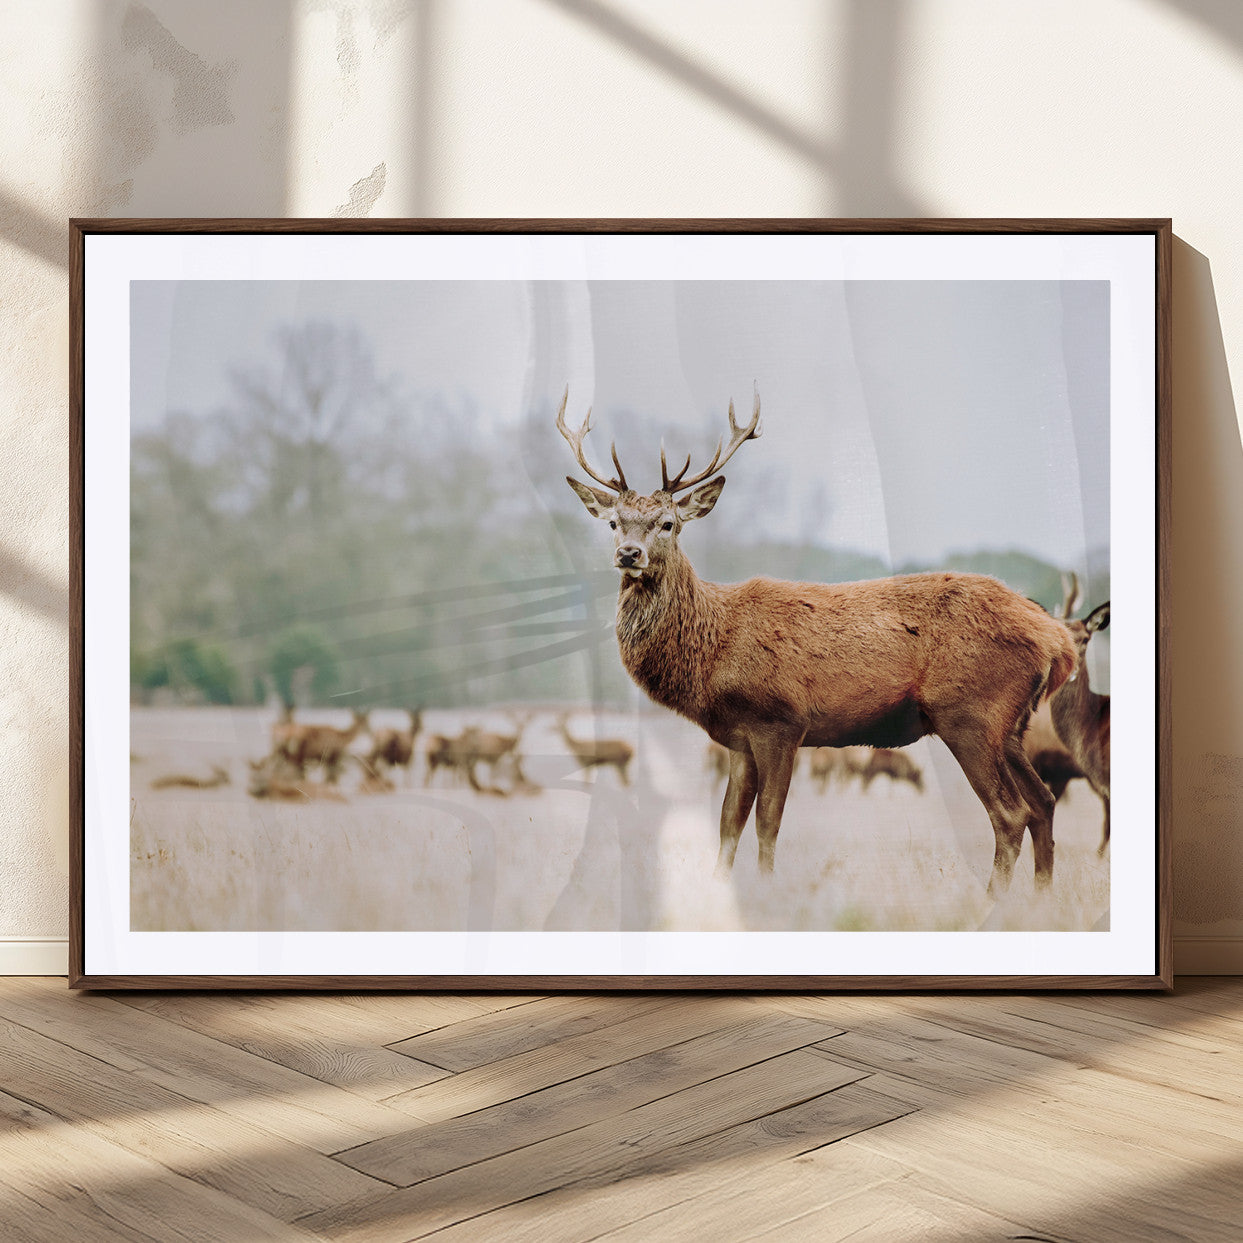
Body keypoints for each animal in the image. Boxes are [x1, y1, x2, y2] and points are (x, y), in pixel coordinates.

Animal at [559, 387, 1078, 893]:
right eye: (613, 523)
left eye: (668, 523)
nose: (629, 554)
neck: (713, 651)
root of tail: (1058, 640)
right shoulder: (738, 738)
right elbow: (728, 824)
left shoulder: (780, 721)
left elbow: (768, 822)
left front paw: (769, 893)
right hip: (1011, 726)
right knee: (1044, 803)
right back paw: (1041, 899)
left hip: (969, 712)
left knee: (1010, 813)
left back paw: (994, 902)